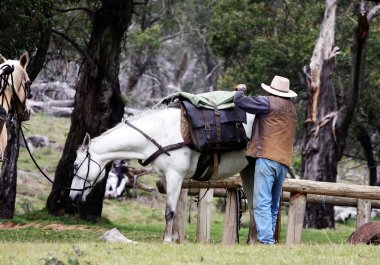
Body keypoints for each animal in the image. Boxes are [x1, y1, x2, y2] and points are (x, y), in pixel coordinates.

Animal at [70, 104, 256, 241]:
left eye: (76, 165)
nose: (73, 197)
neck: (159, 134)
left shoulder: (175, 176)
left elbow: (170, 211)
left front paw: (167, 240)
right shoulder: (167, 178)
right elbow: (173, 211)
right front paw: (173, 238)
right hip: (249, 171)